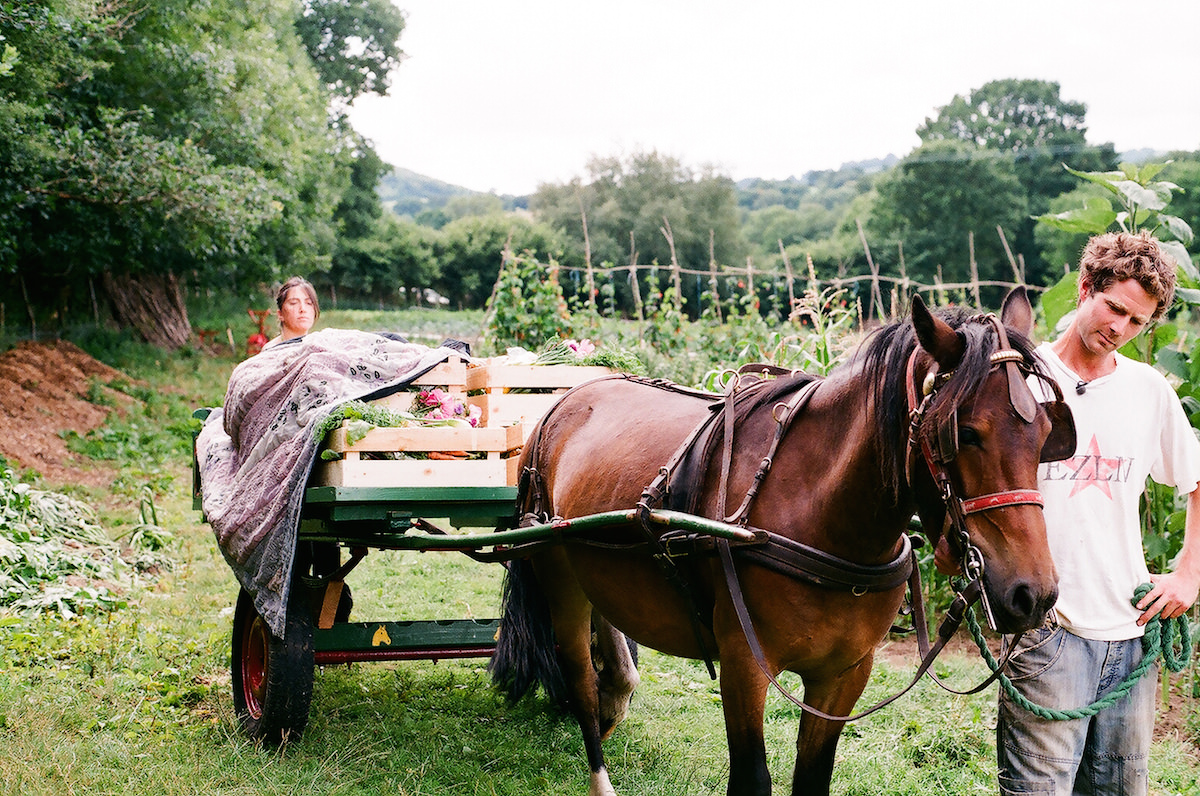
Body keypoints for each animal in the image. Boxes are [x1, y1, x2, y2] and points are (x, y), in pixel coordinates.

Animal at [492, 289, 1075, 792]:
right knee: (580, 682)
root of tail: (569, 397)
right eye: (964, 432)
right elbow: (752, 779)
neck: (827, 520)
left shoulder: (844, 675)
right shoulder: (744, 666)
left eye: (1048, 433)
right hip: (558, 577)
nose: (1033, 594)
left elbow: (812, 778)